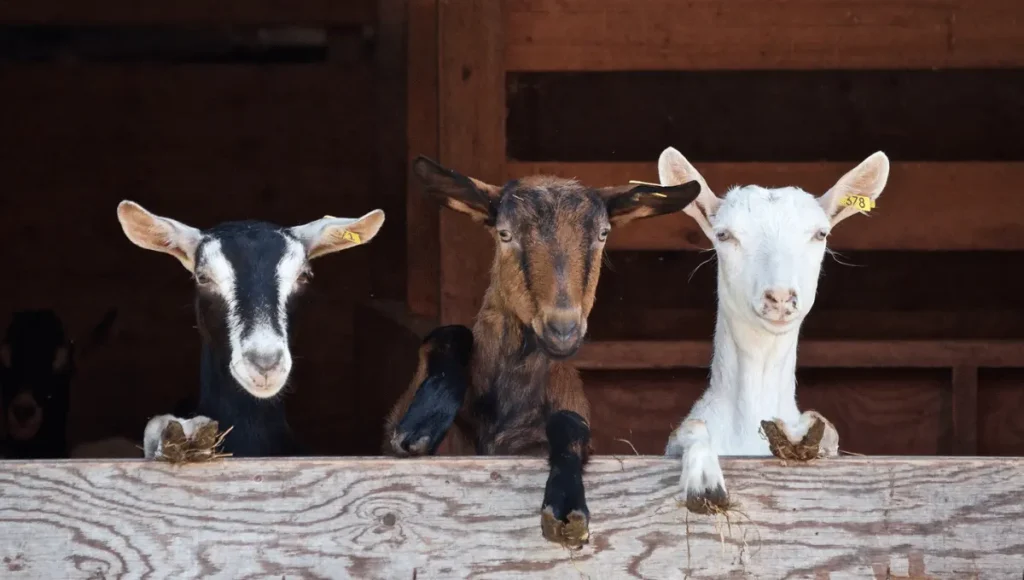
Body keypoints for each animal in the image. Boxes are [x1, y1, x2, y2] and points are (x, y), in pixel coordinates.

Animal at [385, 156, 704, 549]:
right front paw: (422, 423)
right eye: (504, 234)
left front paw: (566, 506)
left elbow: (570, 424)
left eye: (603, 234)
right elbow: (448, 334)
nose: (563, 328)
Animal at [659, 147, 892, 512]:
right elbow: (692, 427)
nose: (780, 297)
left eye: (821, 234)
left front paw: (801, 433)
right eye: (723, 235)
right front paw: (704, 482)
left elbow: (827, 429)